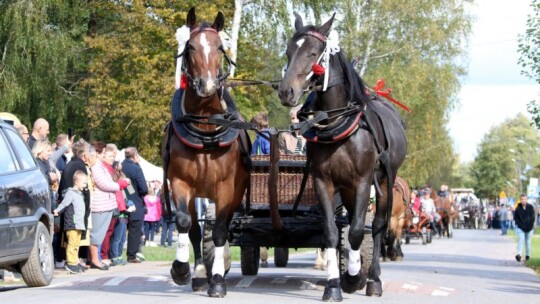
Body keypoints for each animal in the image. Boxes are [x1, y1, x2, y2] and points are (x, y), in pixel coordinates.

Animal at [160, 7, 251, 300]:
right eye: (190, 47)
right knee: (196, 229)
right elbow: (185, 223)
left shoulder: (226, 187)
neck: (206, 127)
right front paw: (181, 269)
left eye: (220, 47)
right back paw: (200, 273)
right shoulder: (180, 182)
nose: (208, 86)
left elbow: (221, 231)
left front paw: (219, 281)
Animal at [278, 13, 404, 300]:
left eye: (313, 52)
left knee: (377, 226)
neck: (338, 123)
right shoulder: (323, 181)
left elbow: (357, 231)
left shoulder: (363, 182)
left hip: (384, 182)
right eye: (289, 51)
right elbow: (332, 233)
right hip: (346, 189)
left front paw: (354, 276)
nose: (286, 91)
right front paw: (334, 284)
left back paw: (373, 279)